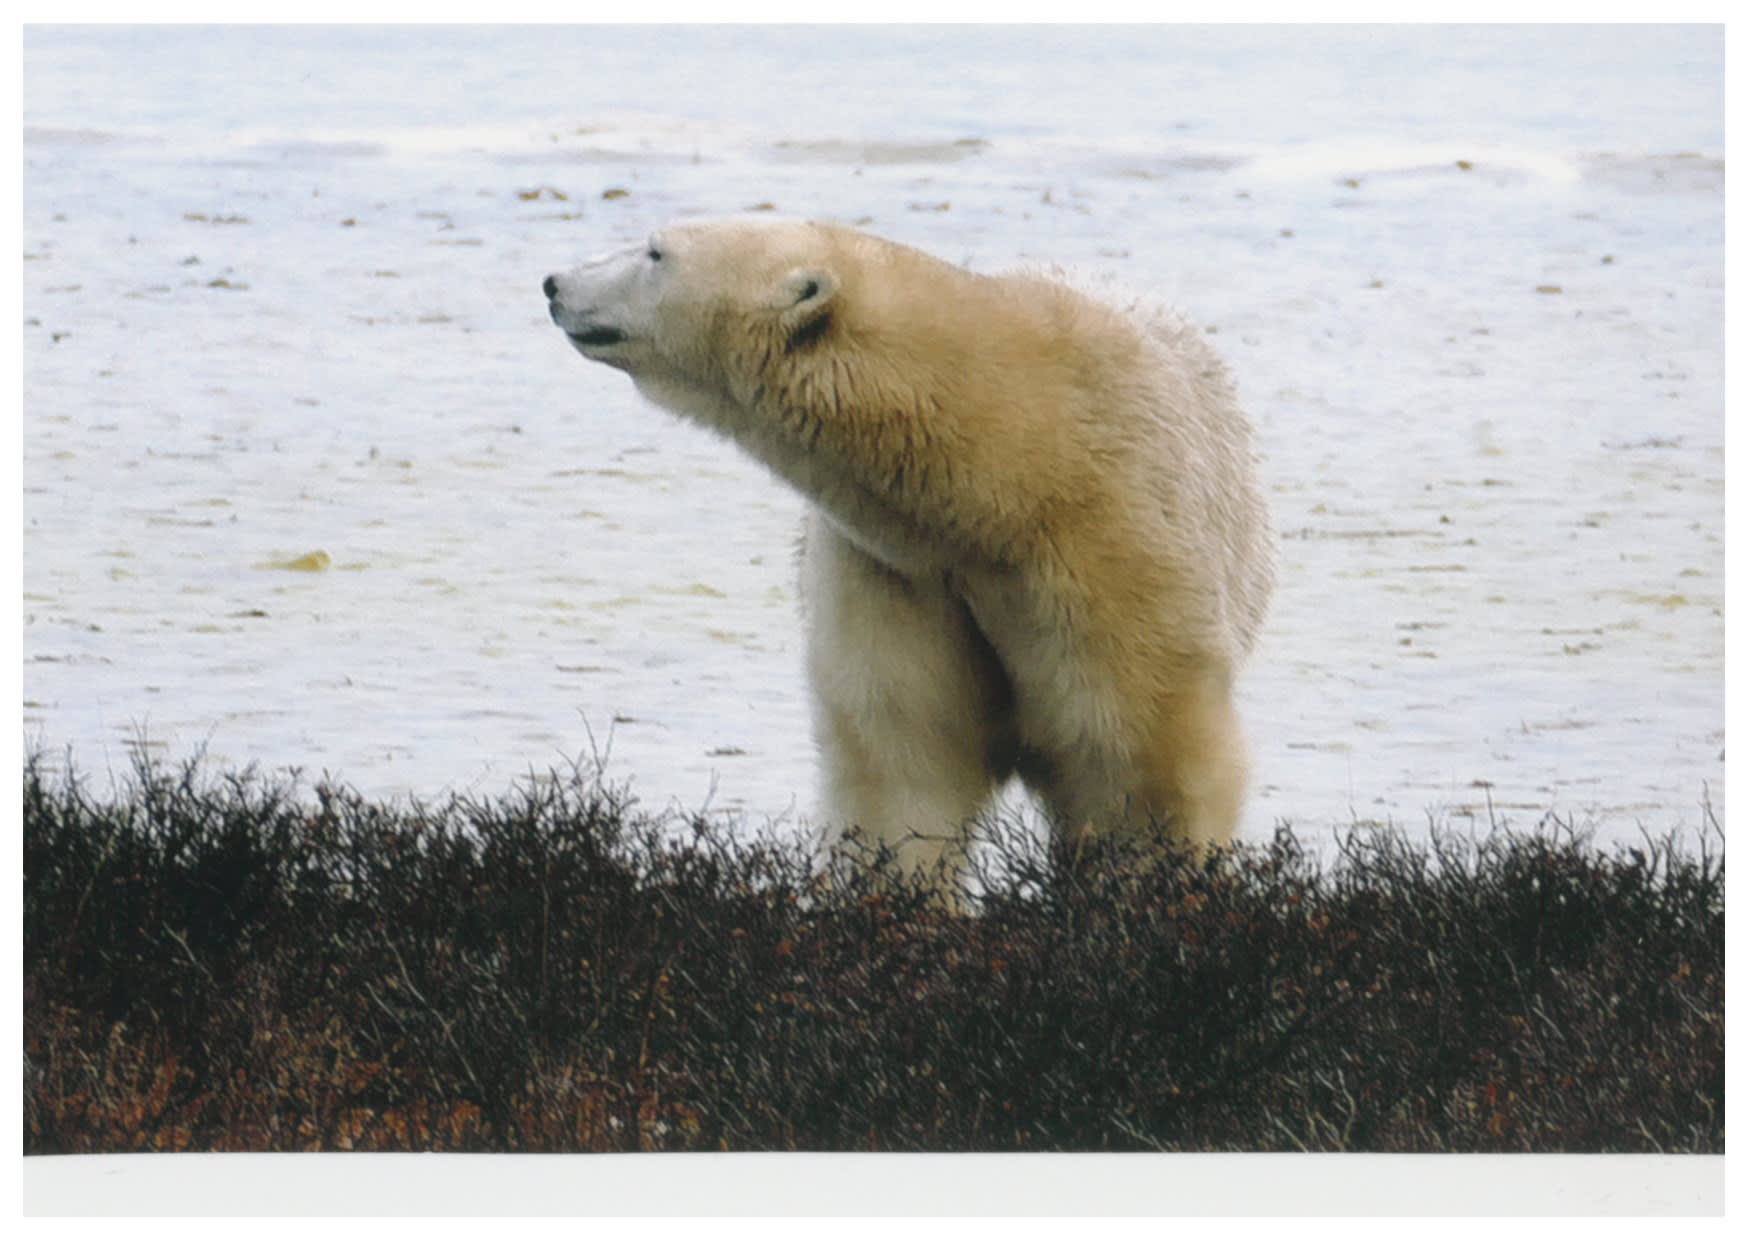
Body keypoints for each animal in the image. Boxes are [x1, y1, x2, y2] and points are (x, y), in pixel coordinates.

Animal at [544, 215, 1273, 892]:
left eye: (655, 251)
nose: (554, 284)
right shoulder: (897, 569)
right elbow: (904, 755)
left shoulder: (1115, 547)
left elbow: (1142, 759)